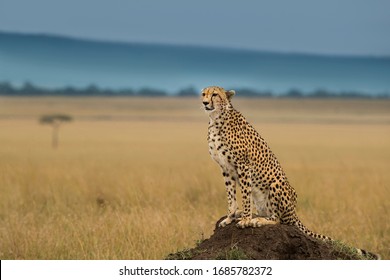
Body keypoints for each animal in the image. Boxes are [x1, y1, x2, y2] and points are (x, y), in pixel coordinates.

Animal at [203, 86, 380, 260]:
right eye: (204, 94)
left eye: (215, 94)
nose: (204, 102)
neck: (216, 119)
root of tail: (294, 211)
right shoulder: (226, 168)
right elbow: (231, 197)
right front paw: (230, 217)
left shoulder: (243, 165)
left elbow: (245, 196)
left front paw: (246, 219)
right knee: (269, 214)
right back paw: (251, 215)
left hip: (276, 184)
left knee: (277, 219)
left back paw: (257, 220)